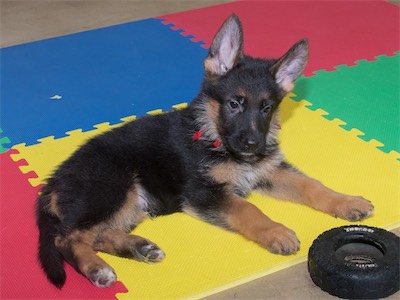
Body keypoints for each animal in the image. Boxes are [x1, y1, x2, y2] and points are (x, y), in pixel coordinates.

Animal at [36, 14, 374, 288]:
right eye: (234, 104)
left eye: (266, 108)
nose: (253, 144)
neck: (214, 136)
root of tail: (55, 181)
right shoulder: (205, 193)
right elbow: (247, 209)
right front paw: (275, 231)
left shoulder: (269, 171)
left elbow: (311, 185)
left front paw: (346, 202)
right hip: (112, 188)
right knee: (66, 237)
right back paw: (97, 268)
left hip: (129, 206)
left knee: (95, 234)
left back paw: (138, 248)